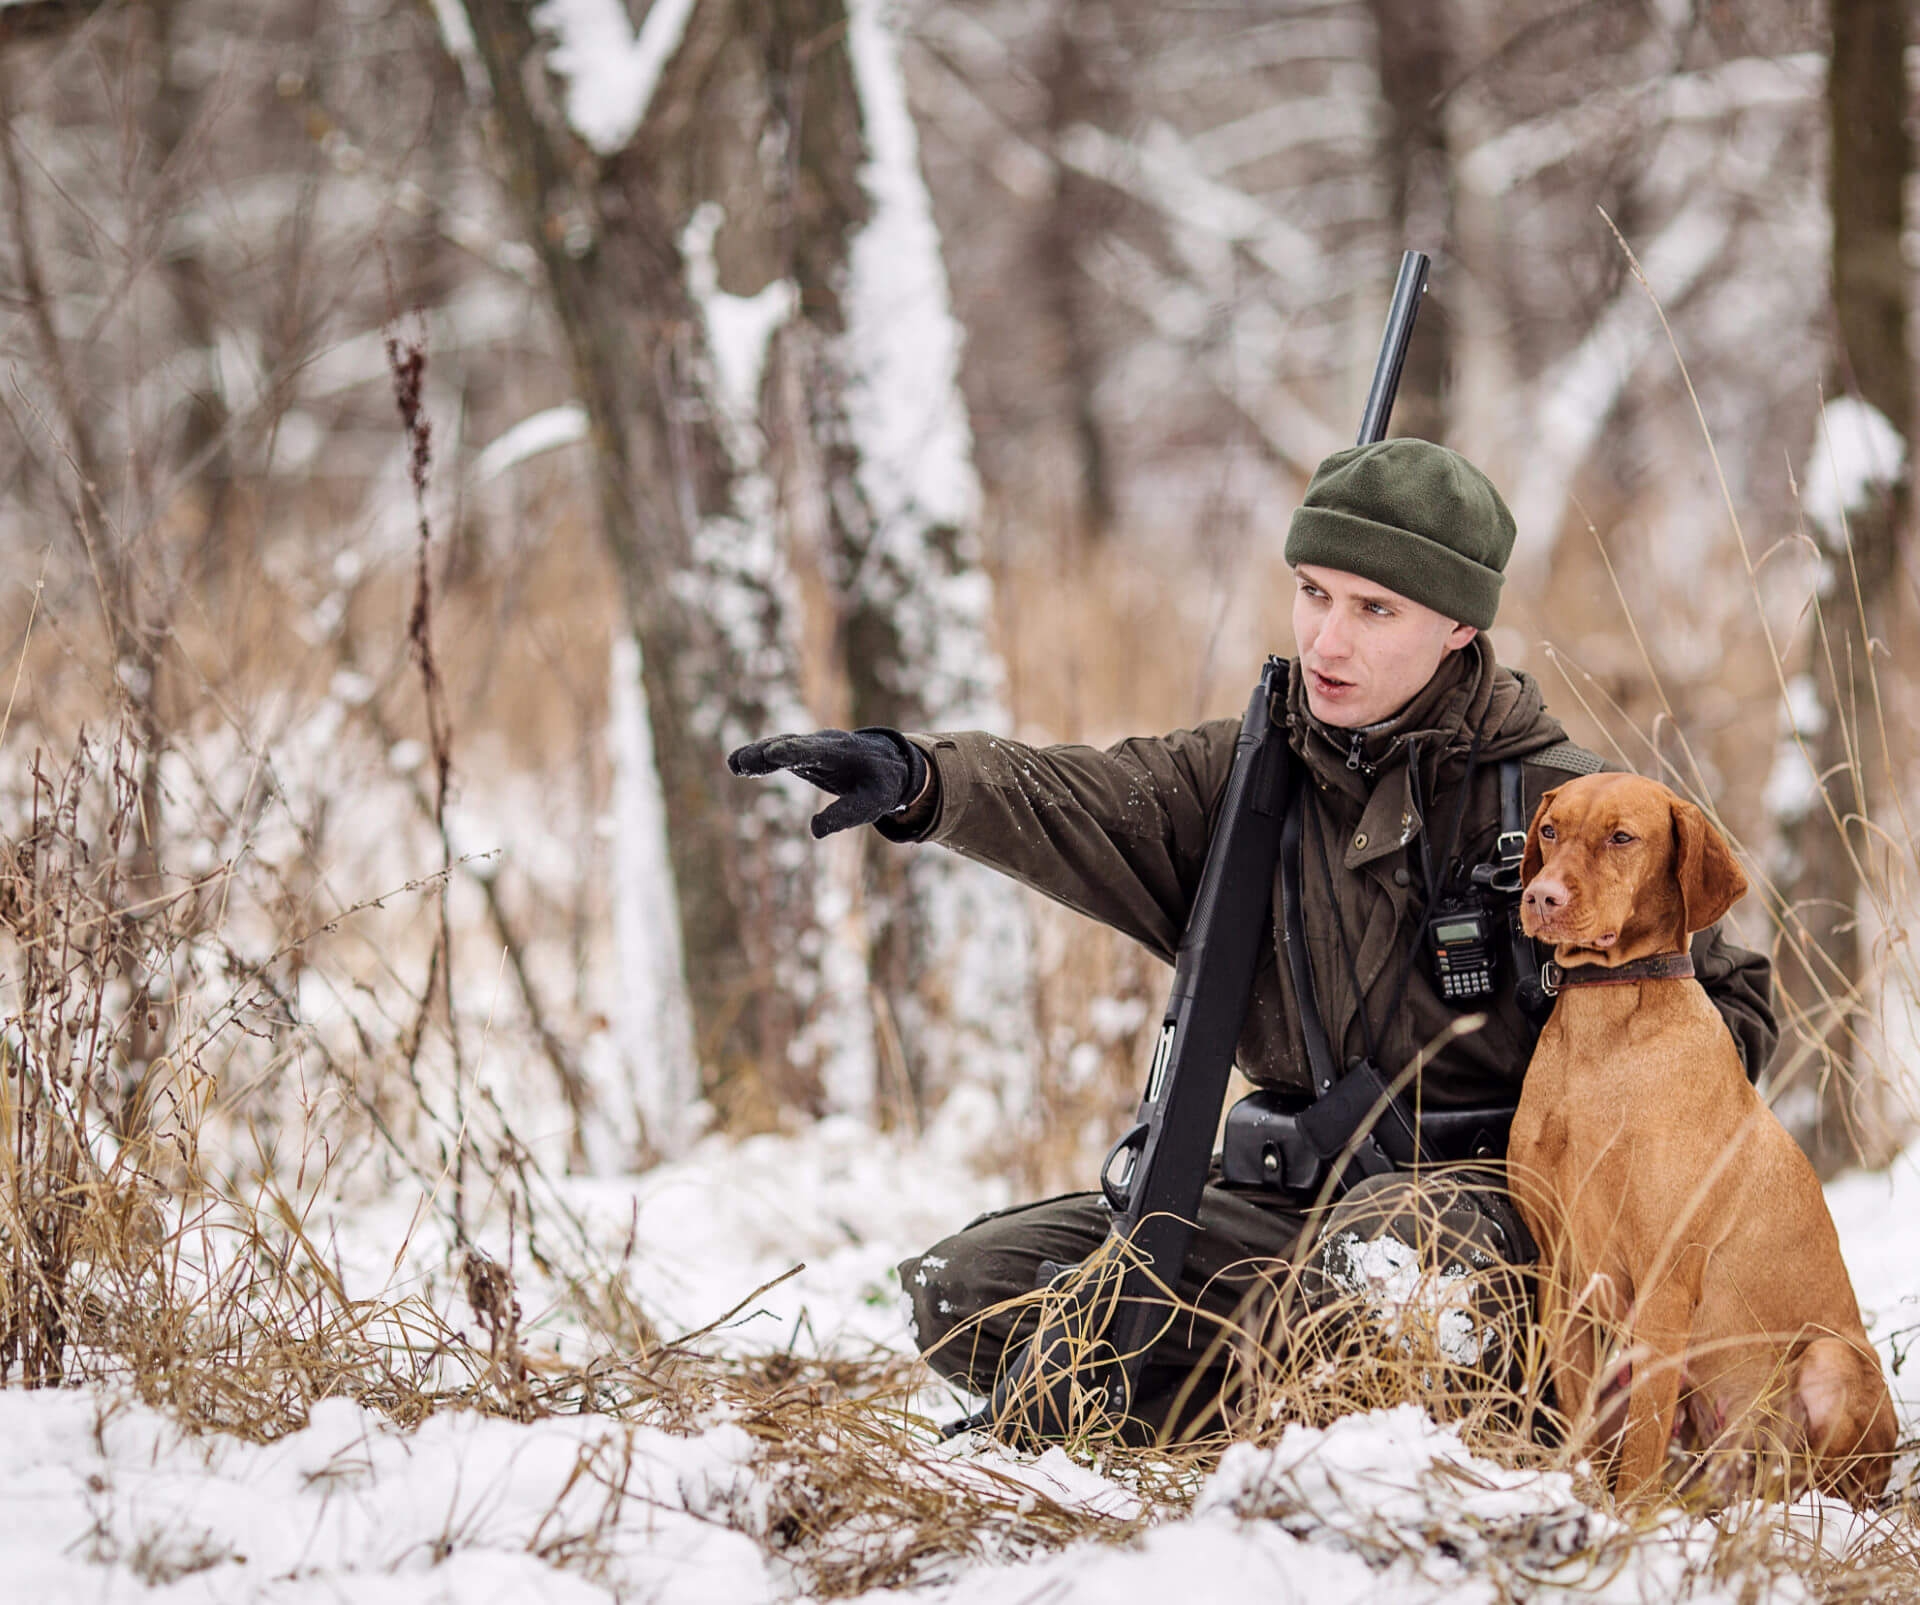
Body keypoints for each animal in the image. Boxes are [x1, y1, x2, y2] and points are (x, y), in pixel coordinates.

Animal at [1512, 771, 1889, 1512]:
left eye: (1622, 837)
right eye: (1549, 830)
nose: (1541, 897)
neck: (1605, 1026)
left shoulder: (1664, 1285)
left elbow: (1641, 1441)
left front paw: (1626, 1518)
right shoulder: (1562, 1275)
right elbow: (1584, 1422)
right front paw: (1580, 1494)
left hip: (1830, 1361)